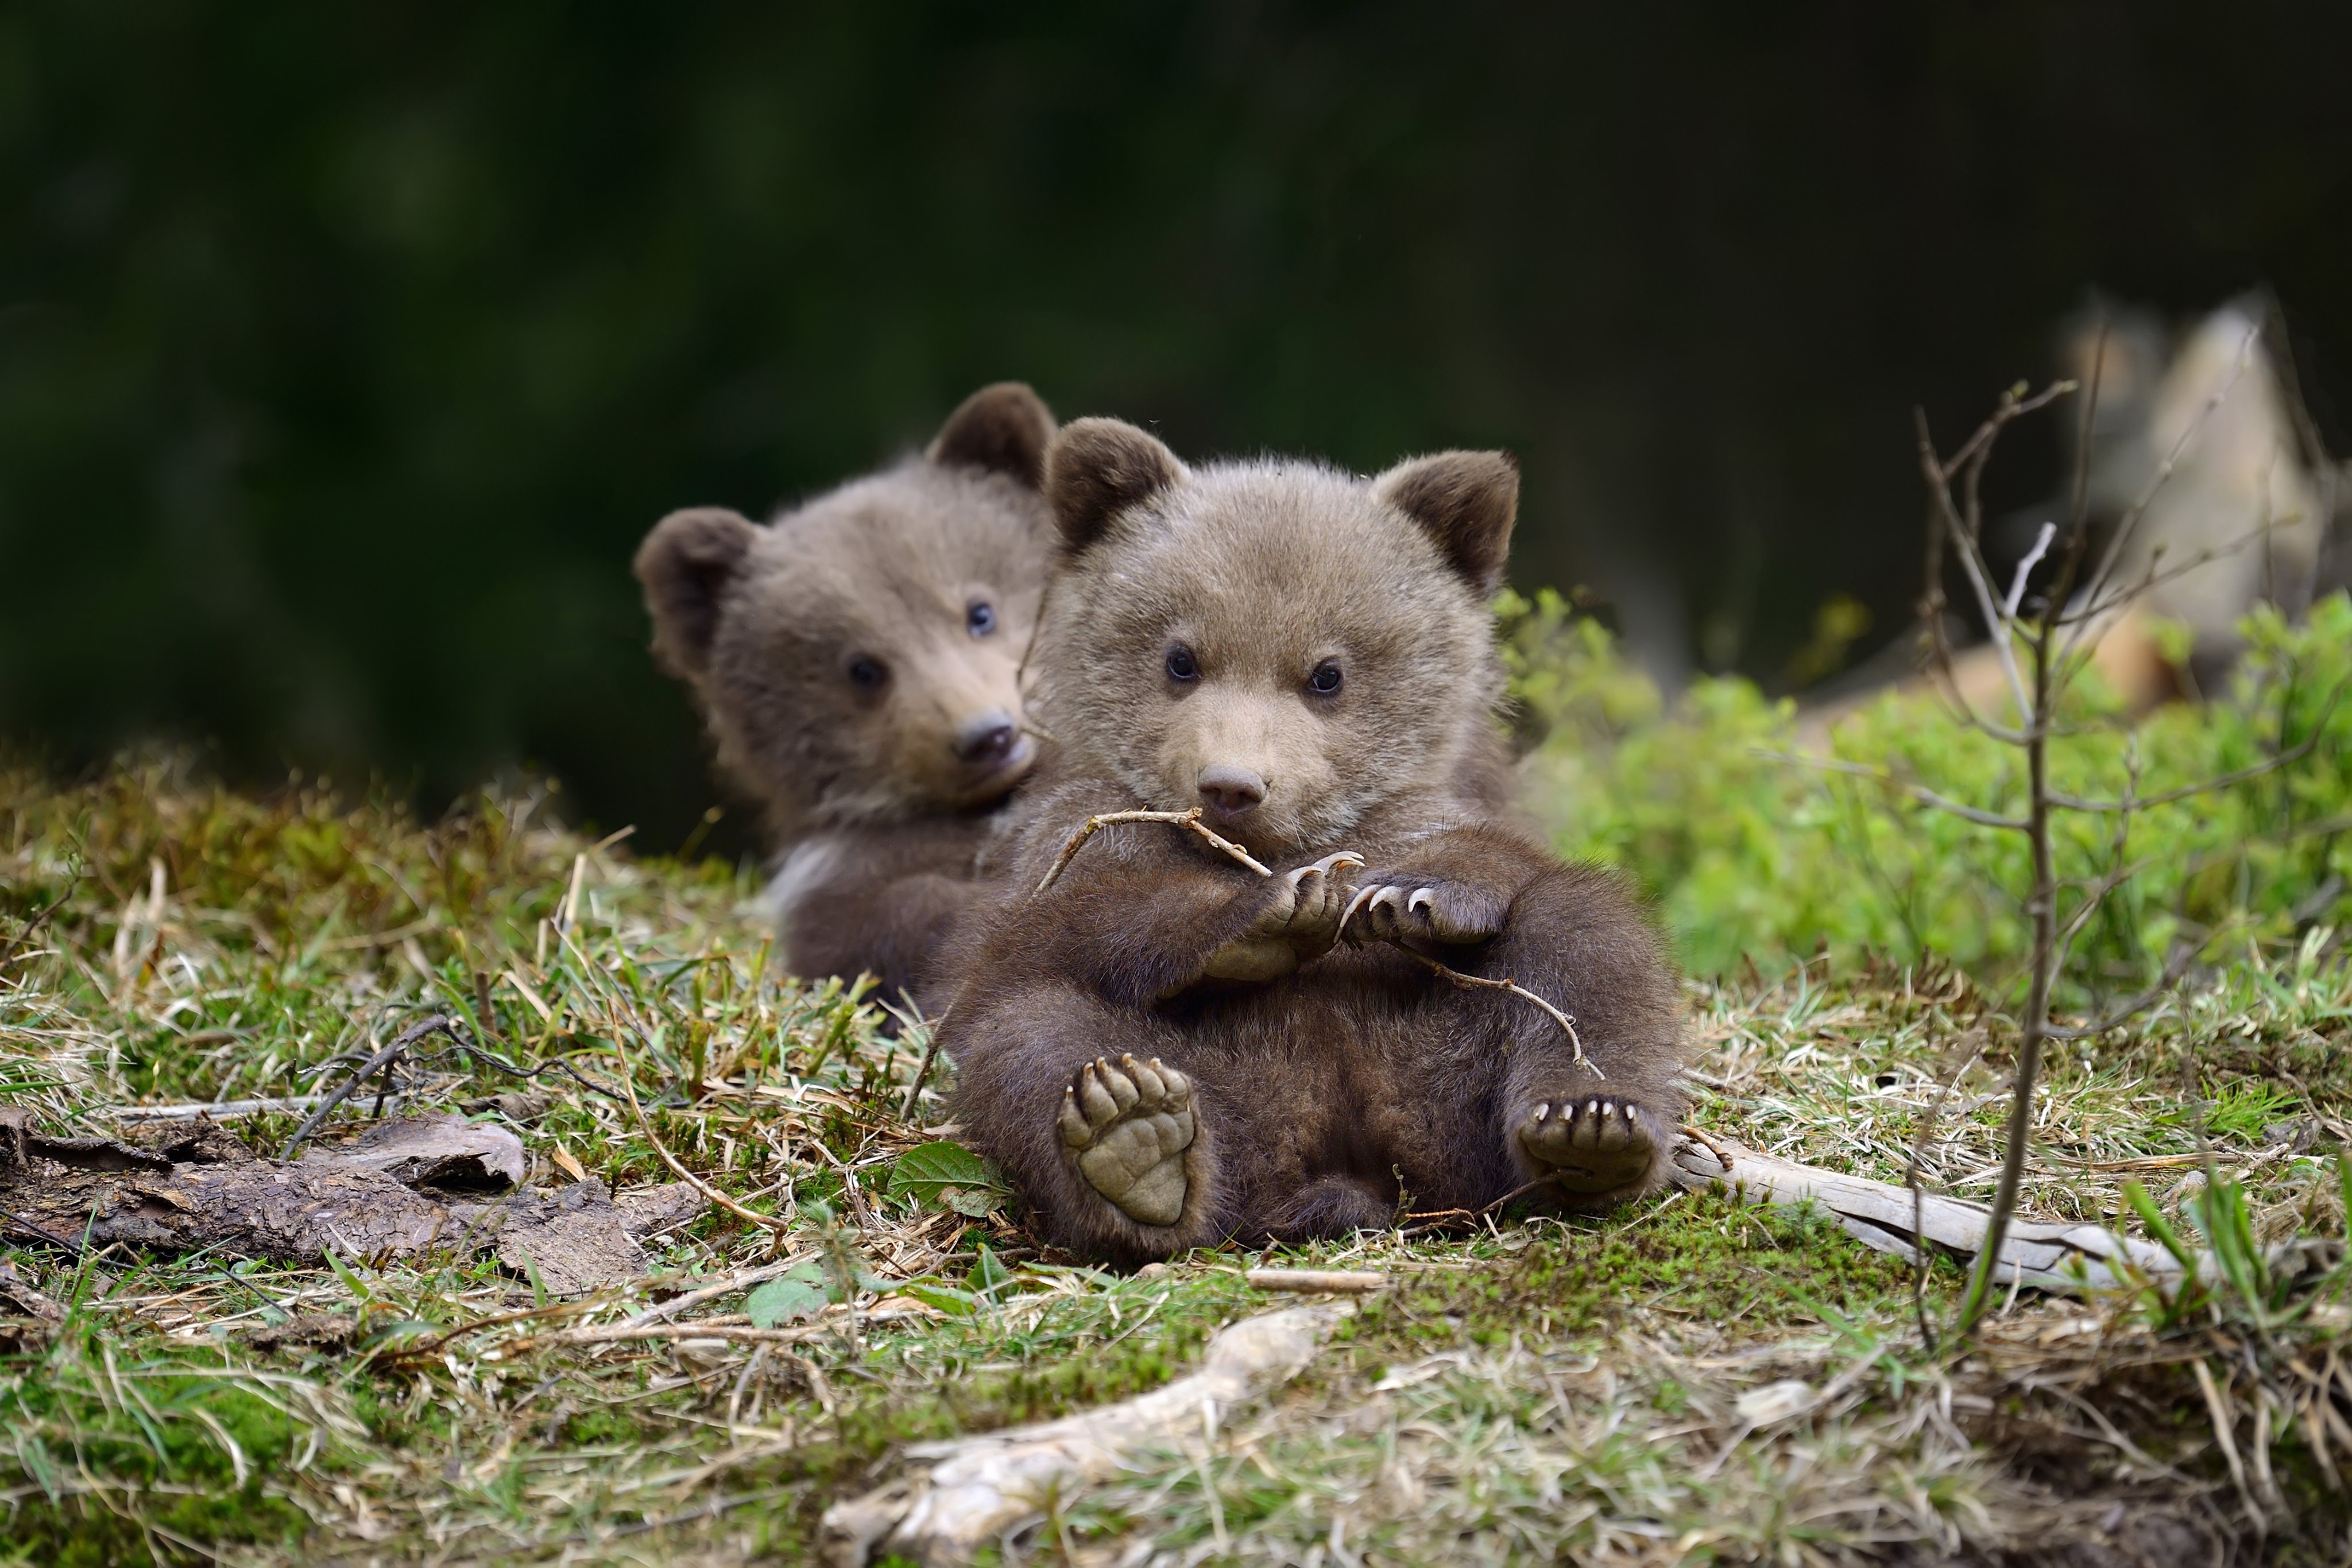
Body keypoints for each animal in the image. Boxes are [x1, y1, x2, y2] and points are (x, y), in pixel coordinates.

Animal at [939, 417, 1688, 1265]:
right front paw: (1271, 912)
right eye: (1180, 658)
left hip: (1446, 1071)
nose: (1232, 784)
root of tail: (1348, 1160)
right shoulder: (1071, 836)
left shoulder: (1437, 806)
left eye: (1327, 673)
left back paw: (1590, 1128)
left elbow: (1493, 857)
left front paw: (1408, 896)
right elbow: (1079, 922)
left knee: (1585, 935)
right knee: (1032, 1036)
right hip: (1220, 1079)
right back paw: (1132, 1138)